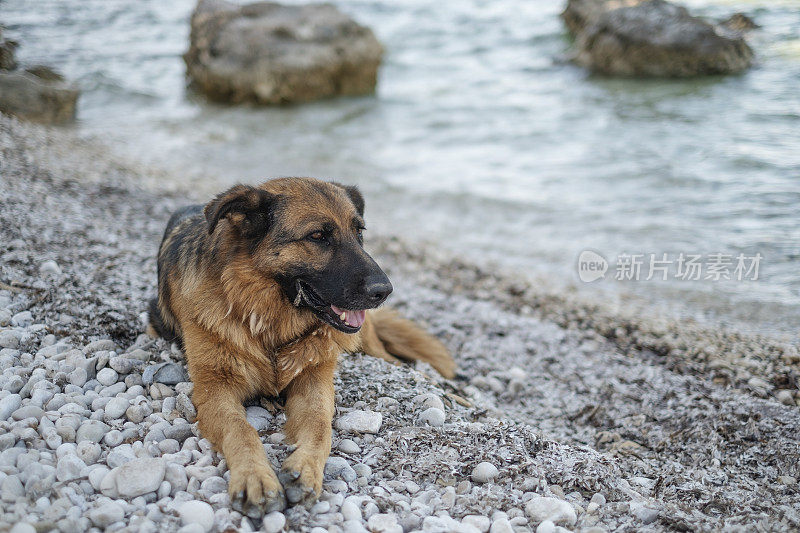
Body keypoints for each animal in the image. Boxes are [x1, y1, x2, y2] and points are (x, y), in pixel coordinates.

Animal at [146, 178, 454, 512]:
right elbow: (239, 429)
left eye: (359, 233)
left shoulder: (313, 380)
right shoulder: (214, 389)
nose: (384, 291)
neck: (266, 319)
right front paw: (255, 475)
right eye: (317, 236)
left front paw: (305, 467)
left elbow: (319, 425)